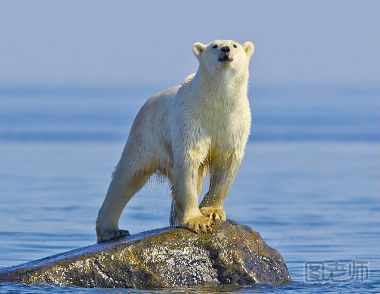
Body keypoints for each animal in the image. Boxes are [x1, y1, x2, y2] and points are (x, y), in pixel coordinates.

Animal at [96, 39, 254, 241]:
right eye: (214, 45)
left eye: (234, 45)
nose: (225, 50)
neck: (217, 103)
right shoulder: (191, 122)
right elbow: (188, 163)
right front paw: (198, 221)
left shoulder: (234, 125)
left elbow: (227, 163)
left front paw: (211, 211)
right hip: (146, 136)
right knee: (128, 176)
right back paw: (112, 230)